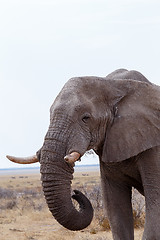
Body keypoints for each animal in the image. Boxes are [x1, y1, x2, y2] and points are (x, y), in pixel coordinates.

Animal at [7, 68, 160, 239]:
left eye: (86, 118)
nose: (74, 193)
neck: (115, 85)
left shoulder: (154, 147)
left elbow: (155, 203)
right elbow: (115, 206)